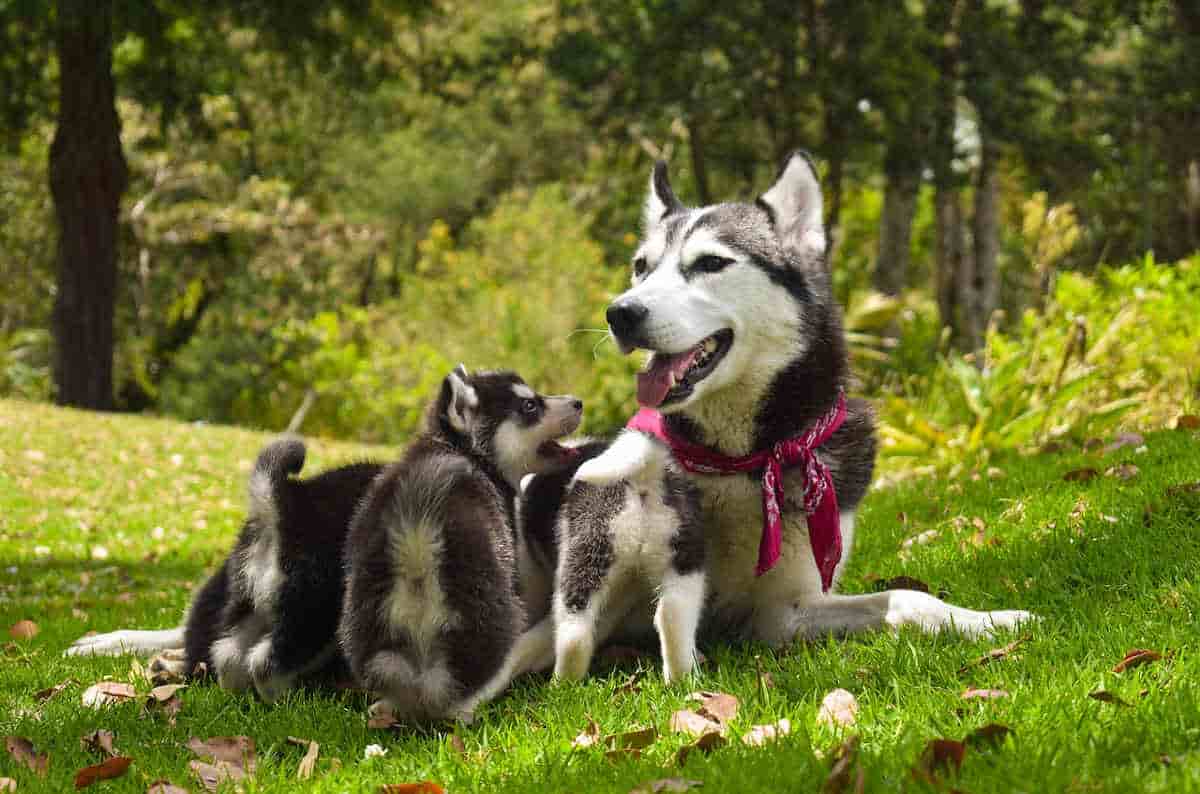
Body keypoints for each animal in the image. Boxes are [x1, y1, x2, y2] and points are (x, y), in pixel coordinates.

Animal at [340, 369, 583, 729]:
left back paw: (388, 706)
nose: (578, 402)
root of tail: (417, 542)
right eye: (529, 405)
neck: (459, 448)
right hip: (494, 611)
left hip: (365, 620)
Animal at [576, 152, 1027, 652]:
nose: (620, 313)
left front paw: (987, 619)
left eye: (711, 262)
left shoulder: (783, 611)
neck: (744, 459)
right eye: (641, 266)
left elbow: (906, 598)